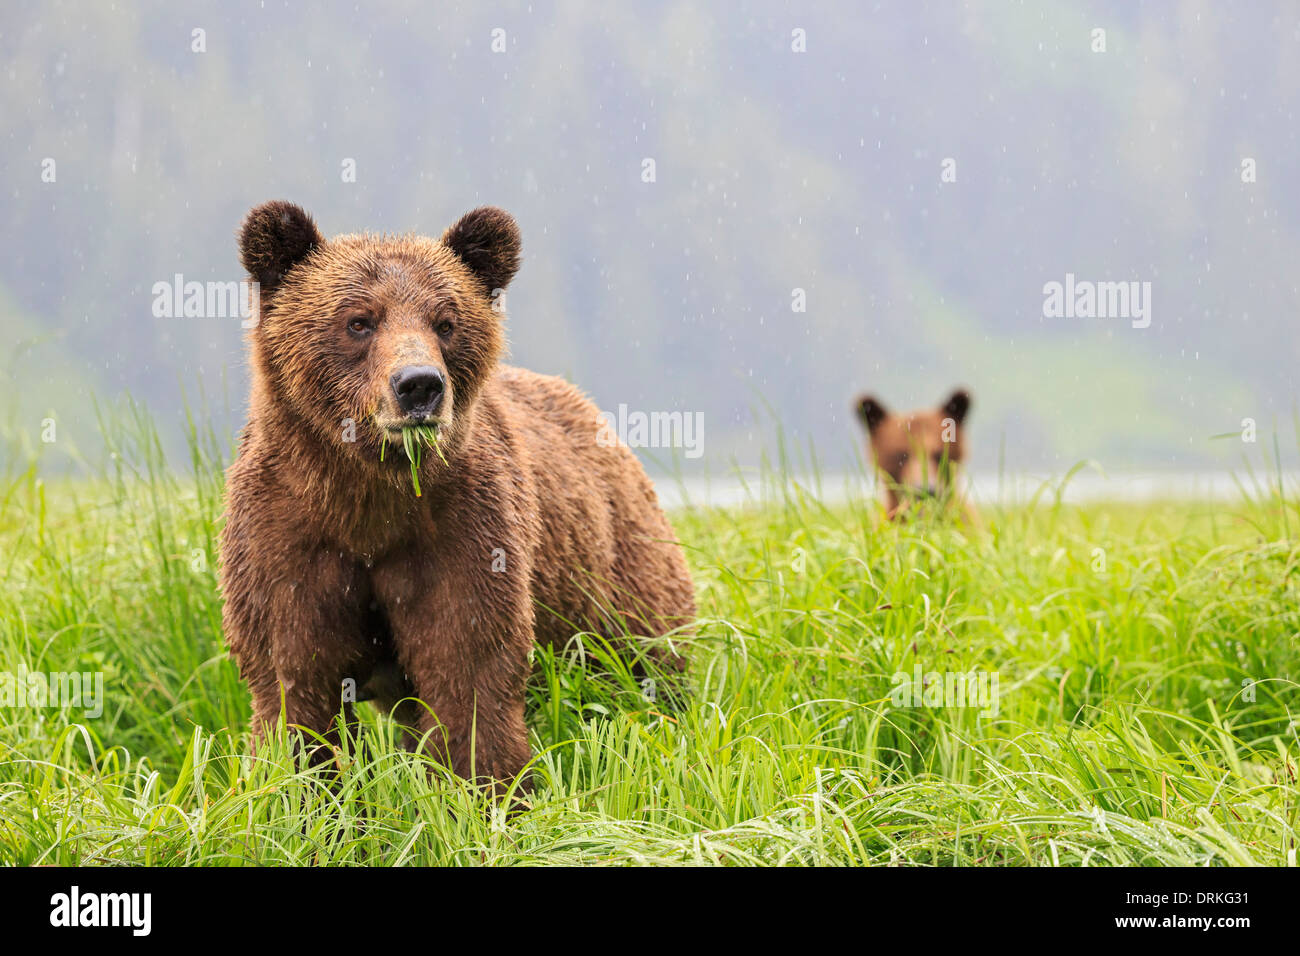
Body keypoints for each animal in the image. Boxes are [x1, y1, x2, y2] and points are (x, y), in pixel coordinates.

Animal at [218, 197, 696, 790]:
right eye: (359, 320)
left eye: (445, 322)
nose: (419, 384)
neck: (367, 496)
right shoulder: (285, 532)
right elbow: (295, 681)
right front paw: (301, 792)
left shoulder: (462, 530)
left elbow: (466, 666)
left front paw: (489, 789)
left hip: (616, 569)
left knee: (647, 662)